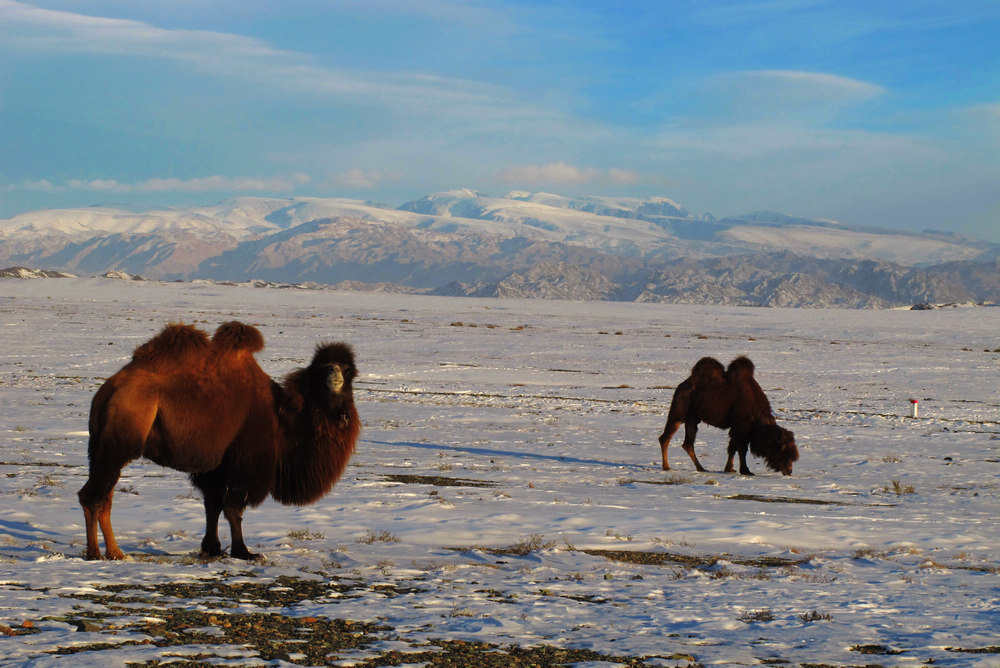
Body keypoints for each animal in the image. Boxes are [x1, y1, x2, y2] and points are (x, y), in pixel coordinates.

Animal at [79, 320, 360, 560]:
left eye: (348, 370)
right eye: (323, 368)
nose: (335, 376)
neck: (281, 420)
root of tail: (107, 392)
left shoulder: (216, 466)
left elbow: (212, 505)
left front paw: (211, 548)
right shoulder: (246, 462)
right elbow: (233, 507)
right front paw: (244, 552)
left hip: (101, 446)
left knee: (105, 497)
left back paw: (114, 552)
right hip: (117, 443)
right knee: (93, 496)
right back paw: (96, 553)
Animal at [656, 354, 796, 474]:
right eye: (782, 450)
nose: (789, 470)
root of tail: (681, 386)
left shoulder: (742, 429)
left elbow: (735, 449)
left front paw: (733, 469)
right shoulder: (740, 426)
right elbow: (739, 449)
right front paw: (742, 470)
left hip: (692, 419)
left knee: (687, 444)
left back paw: (701, 468)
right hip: (678, 415)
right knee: (666, 438)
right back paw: (667, 466)